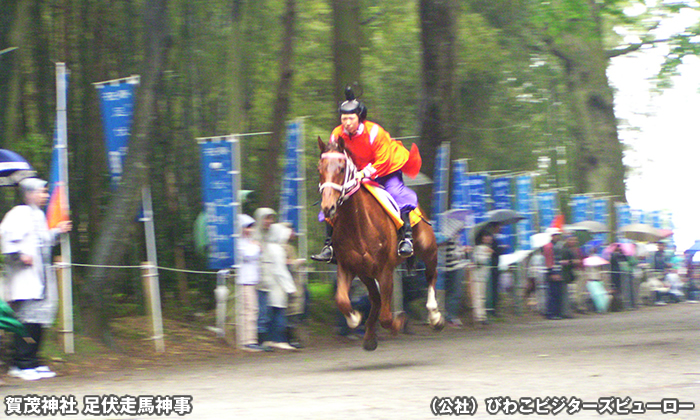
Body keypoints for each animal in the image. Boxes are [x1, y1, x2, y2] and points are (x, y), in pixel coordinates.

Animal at [318, 137, 442, 352]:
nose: (328, 208)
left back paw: (435, 316)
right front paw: (356, 318)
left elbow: (386, 317)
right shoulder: (347, 266)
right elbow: (342, 300)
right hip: (365, 273)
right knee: (375, 298)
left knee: (431, 275)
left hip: (427, 248)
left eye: (341, 168)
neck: (358, 223)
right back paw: (369, 335)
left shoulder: (385, 270)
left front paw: (398, 322)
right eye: (320, 168)